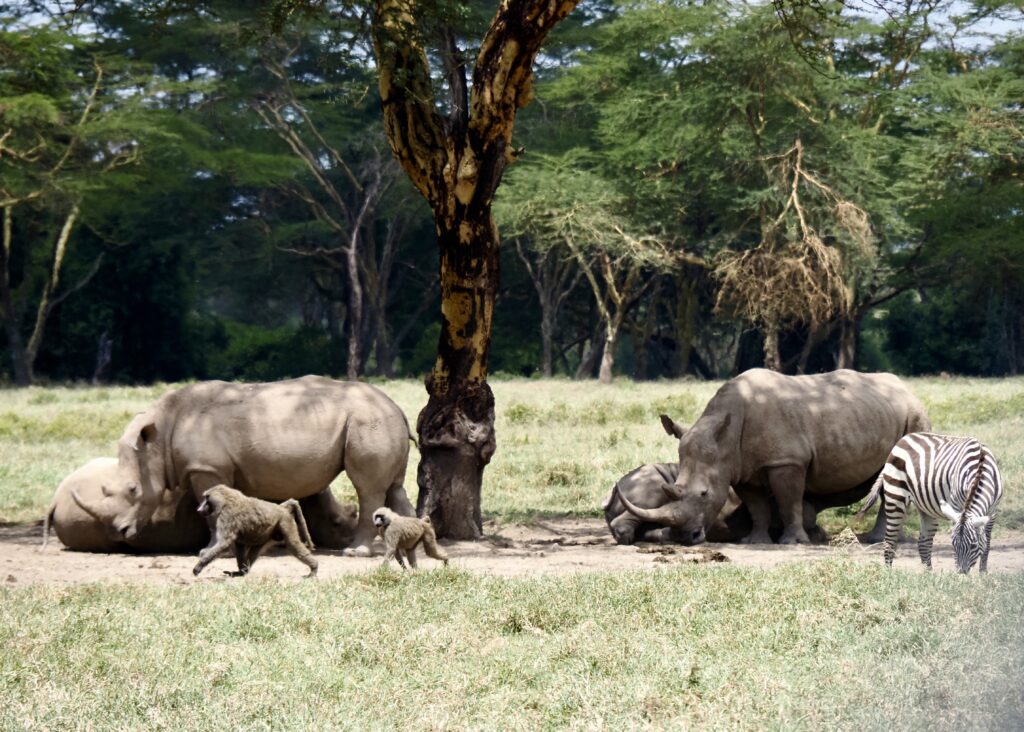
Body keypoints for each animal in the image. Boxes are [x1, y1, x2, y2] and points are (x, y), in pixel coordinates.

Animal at [860, 432, 1003, 577]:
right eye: (953, 544)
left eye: (974, 545)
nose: (961, 574)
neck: (980, 468)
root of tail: (905, 438)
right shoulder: (956, 506)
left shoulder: (993, 511)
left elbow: (987, 543)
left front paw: (983, 574)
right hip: (895, 496)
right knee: (889, 540)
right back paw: (888, 573)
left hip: (926, 508)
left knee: (924, 542)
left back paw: (928, 575)